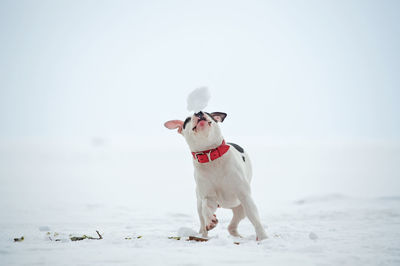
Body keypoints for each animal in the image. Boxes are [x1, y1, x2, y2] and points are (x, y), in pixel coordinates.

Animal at [164, 111, 268, 240]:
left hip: (240, 208)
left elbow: (255, 218)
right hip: (200, 203)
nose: (198, 112)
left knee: (233, 224)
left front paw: (263, 237)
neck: (210, 155)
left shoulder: (244, 196)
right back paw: (204, 235)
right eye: (187, 120)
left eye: (207, 112)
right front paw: (211, 220)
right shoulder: (209, 197)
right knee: (204, 220)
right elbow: (206, 207)